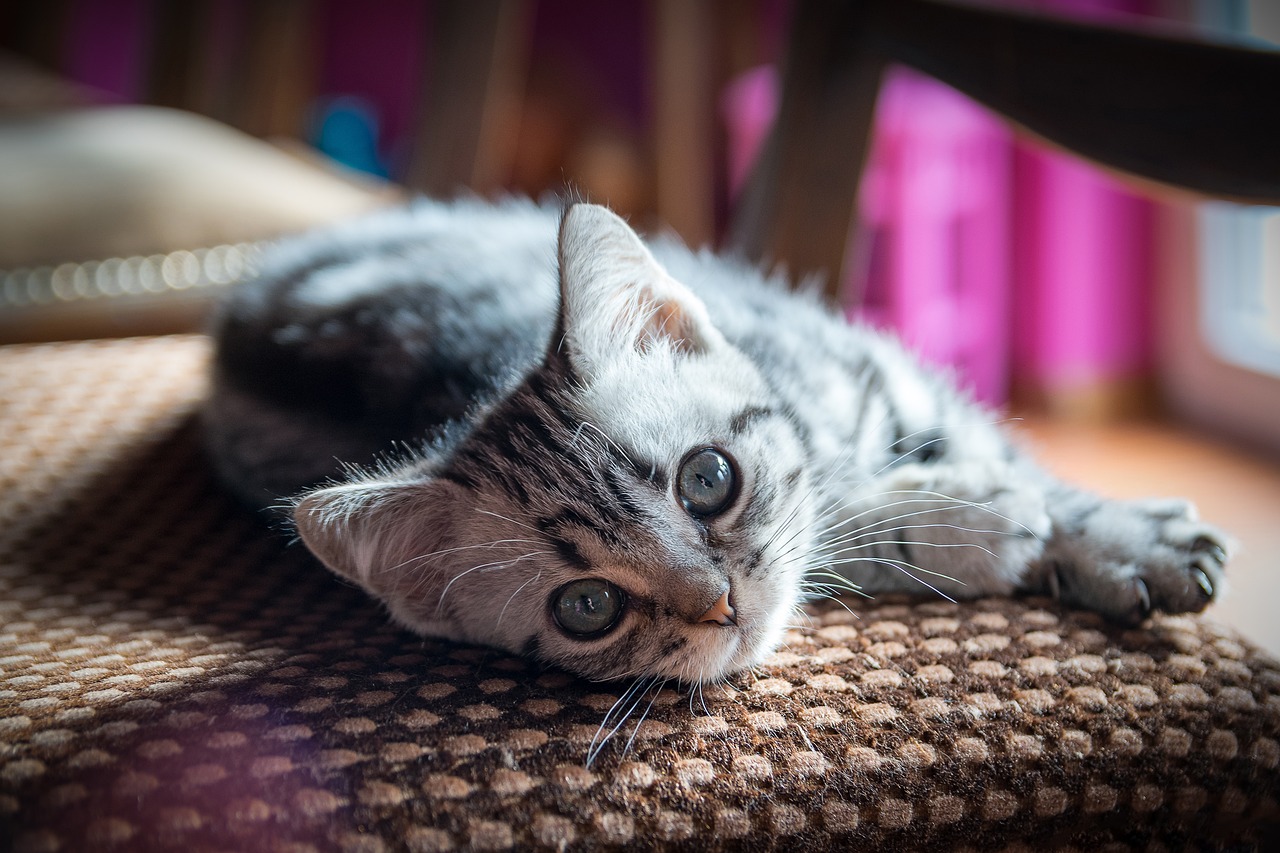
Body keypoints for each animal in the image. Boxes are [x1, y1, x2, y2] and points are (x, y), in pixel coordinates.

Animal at [204, 194, 1233, 686]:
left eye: (707, 479)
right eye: (587, 606)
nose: (717, 602)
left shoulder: (889, 372)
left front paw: (1118, 538)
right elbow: (843, 530)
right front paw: (967, 524)